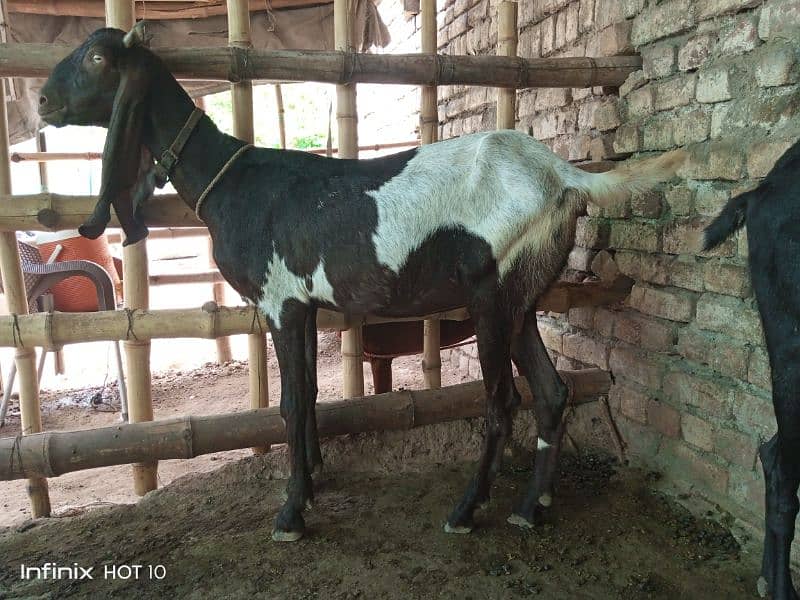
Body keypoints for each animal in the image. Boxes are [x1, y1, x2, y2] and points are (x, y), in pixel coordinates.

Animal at [39, 23, 688, 540]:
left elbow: (291, 401)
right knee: (552, 392)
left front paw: (291, 514)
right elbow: (304, 398)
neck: (233, 180)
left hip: (489, 294)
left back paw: (466, 510)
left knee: (503, 401)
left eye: (97, 57)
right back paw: (531, 507)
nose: (44, 100)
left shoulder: (279, 302)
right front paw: (312, 484)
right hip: (522, 294)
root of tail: (562, 175)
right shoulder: (303, 304)